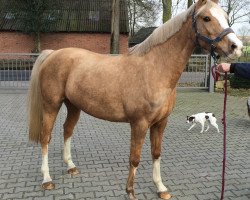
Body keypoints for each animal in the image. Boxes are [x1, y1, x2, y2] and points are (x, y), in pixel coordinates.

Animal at [27, 0, 242, 199]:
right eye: (206, 18)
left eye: (225, 16)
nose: (237, 47)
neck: (154, 69)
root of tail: (53, 54)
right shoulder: (139, 123)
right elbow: (135, 158)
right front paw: (130, 191)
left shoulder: (160, 123)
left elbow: (156, 153)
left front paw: (161, 188)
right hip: (51, 105)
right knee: (45, 137)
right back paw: (47, 179)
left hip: (73, 106)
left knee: (67, 130)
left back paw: (71, 166)